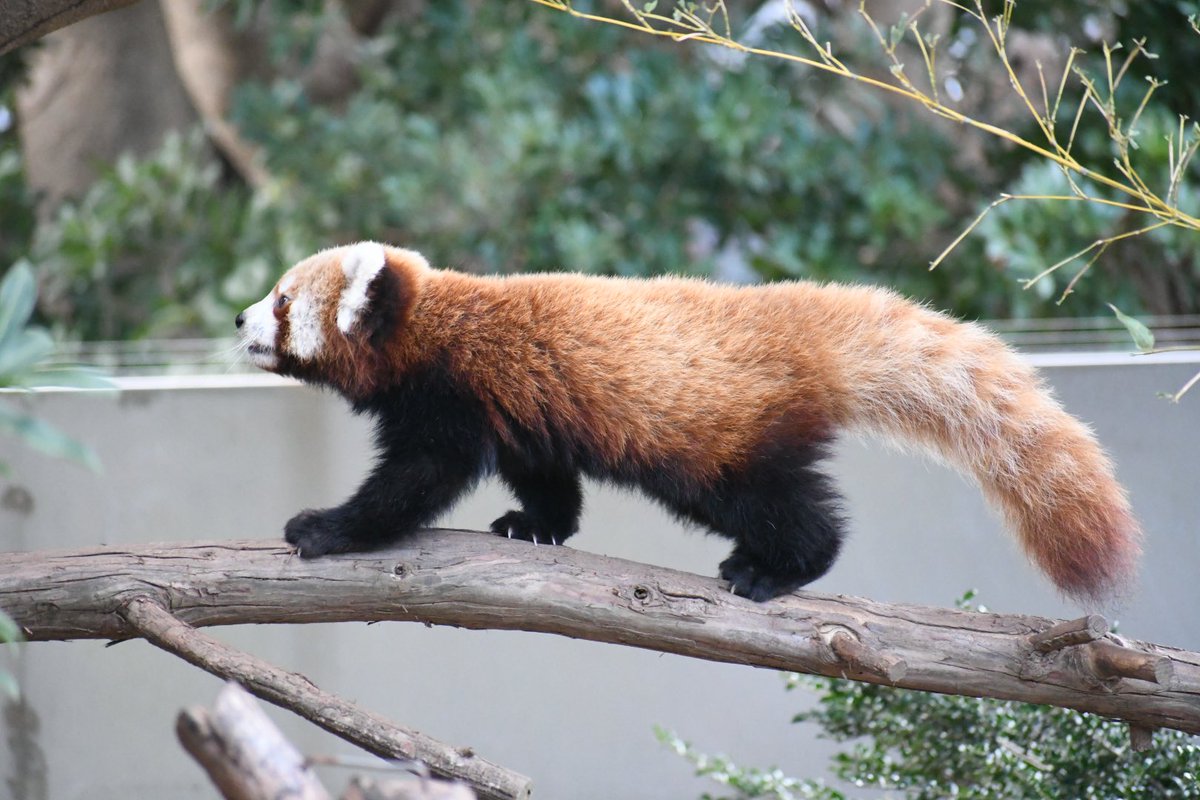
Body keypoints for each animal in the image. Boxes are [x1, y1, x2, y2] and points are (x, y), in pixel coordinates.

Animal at [236, 241, 1142, 604]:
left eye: (281, 301)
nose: (240, 318)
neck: (433, 325)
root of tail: (799, 320)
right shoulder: (523, 408)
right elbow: (543, 475)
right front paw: (537, 525)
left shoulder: (451, 398)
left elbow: (413, 483)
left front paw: (326, 528)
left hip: (723, 447)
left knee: (783, 508)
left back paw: (777, 570)